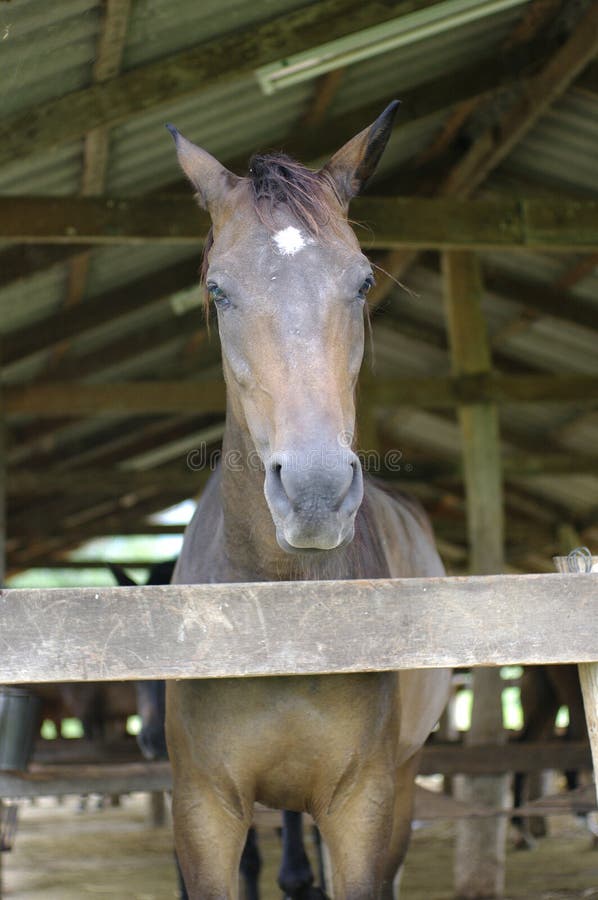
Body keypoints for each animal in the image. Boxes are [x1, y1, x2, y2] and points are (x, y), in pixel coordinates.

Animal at [166, 102, 452, 896]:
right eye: (217, 290)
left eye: (360, 283)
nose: (316, 491)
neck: (280, 612)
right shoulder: (203, 809)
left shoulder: (363, 805)